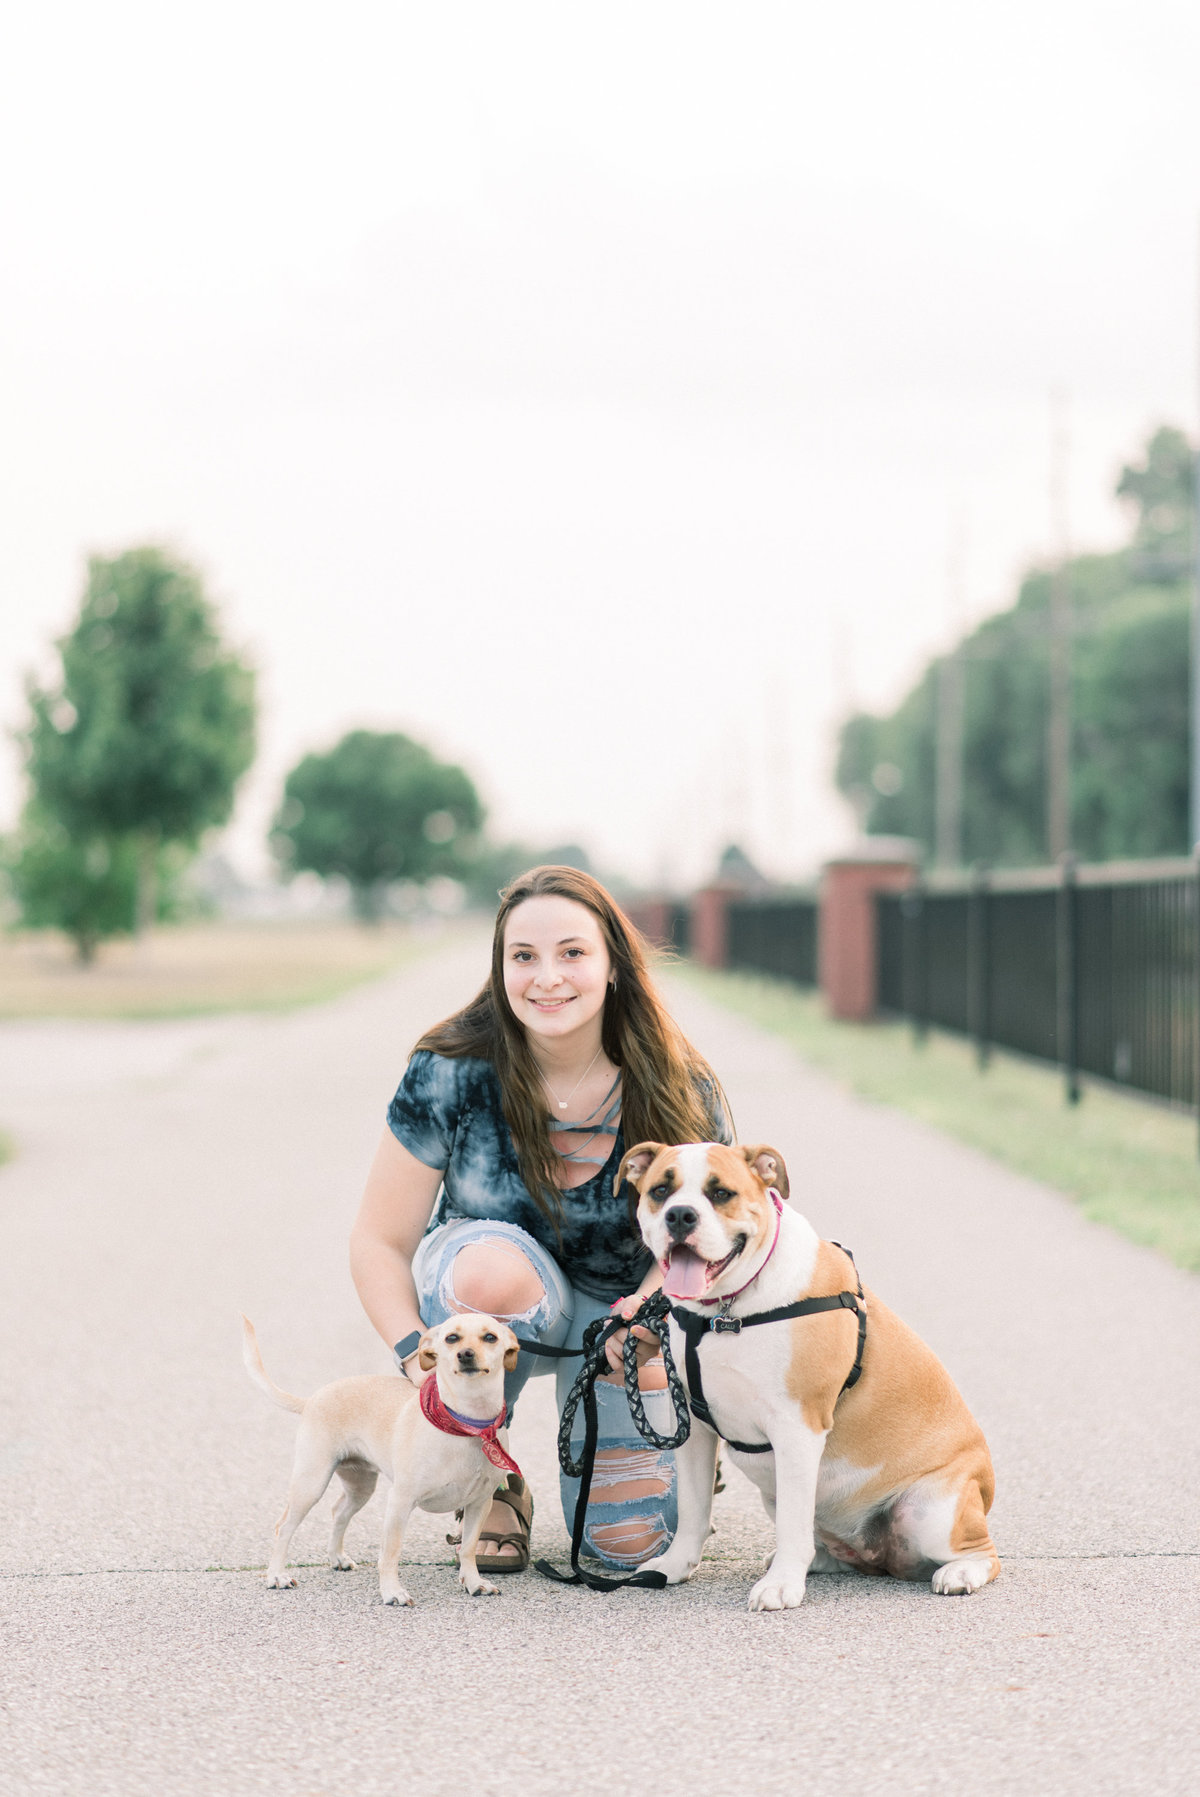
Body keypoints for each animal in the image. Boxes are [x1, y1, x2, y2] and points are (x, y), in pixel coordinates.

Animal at [244, 1315, 520, 1610]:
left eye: (490, 1337)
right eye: (451, 1338)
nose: (465, 1354)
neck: (466, 1425)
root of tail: (312, 1399)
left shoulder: (479, 1504)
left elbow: (468, 1548)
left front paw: (473, 1582)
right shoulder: (400, 1503)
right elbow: (391, 1552)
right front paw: (392, 1592)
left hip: (360, 1488)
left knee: (338, 1511)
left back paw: (337, 1558)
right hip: (311, 1484)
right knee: (283, 1526)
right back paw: (276, 1575)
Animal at [617, 1142, 1005, 1624]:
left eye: (721, 1193)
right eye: (661, 1191)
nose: (680, 1216)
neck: (727, 1309)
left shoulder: (797, 1429)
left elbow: (791, 1524)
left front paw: (781, 1585)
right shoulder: (693, 1428)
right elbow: (693, 1507)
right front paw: (674, 1566)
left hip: (932, 1511)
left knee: (984, 1553)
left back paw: (959, 1573)